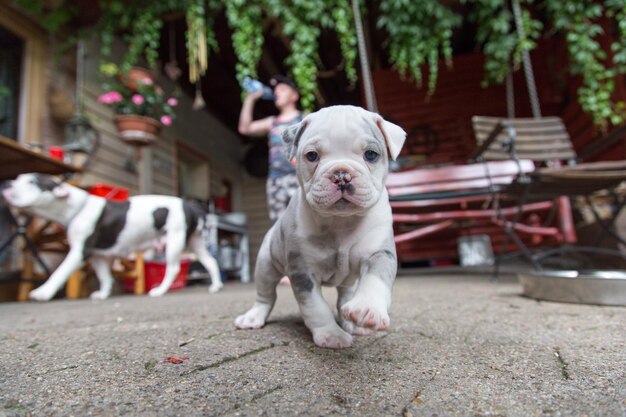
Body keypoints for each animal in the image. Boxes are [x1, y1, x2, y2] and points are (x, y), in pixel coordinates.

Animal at [1, 173, 222, 300]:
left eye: (32, 182)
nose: (6, 184)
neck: (76, 208)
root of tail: (191, 205)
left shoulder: (82, 250)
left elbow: (60, 271)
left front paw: (43, 292)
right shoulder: (99, 254)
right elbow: (104, 276)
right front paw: (103, 293)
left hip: (175, 238)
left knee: (174, 267)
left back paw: (159, 291)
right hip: (194, 241)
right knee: (211, 262)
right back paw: (216, 286)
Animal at [234, 105, 404, 348]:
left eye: (371, 154)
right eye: (312, 156)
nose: (341, 175)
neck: (340, 221)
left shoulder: (379, 253)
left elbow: (375, 280)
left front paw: (366, 309)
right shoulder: (303, 273)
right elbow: (316, 307)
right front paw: (331, 334)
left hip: (348, 280)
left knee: (345, 296)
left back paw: (350, 321)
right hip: (266, 265)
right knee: (265, 295)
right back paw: (253, 317)